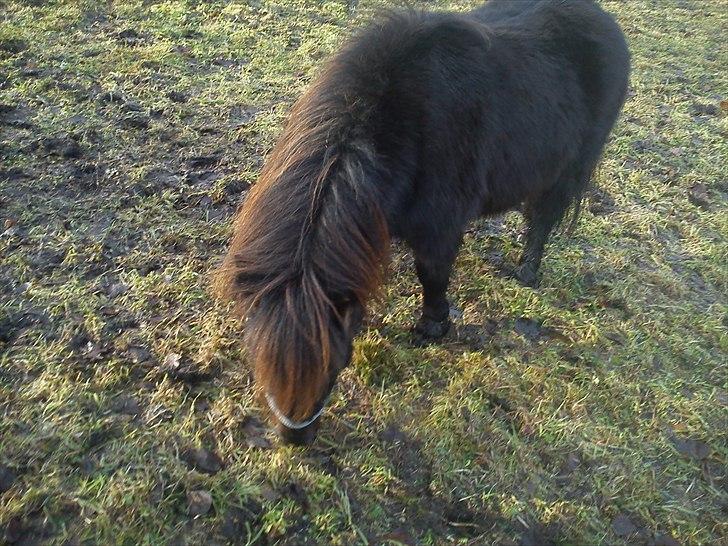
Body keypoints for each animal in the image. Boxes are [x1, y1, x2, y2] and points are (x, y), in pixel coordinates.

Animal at [219, 0, 630, 445]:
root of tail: (603, 20)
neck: (397, 126)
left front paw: (432, 327)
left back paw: (526, 271)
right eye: (258, 356)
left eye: (337, 361)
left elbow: (432, 274)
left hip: (566, 172)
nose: (294, 438)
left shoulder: (439, 227)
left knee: (541, 222)